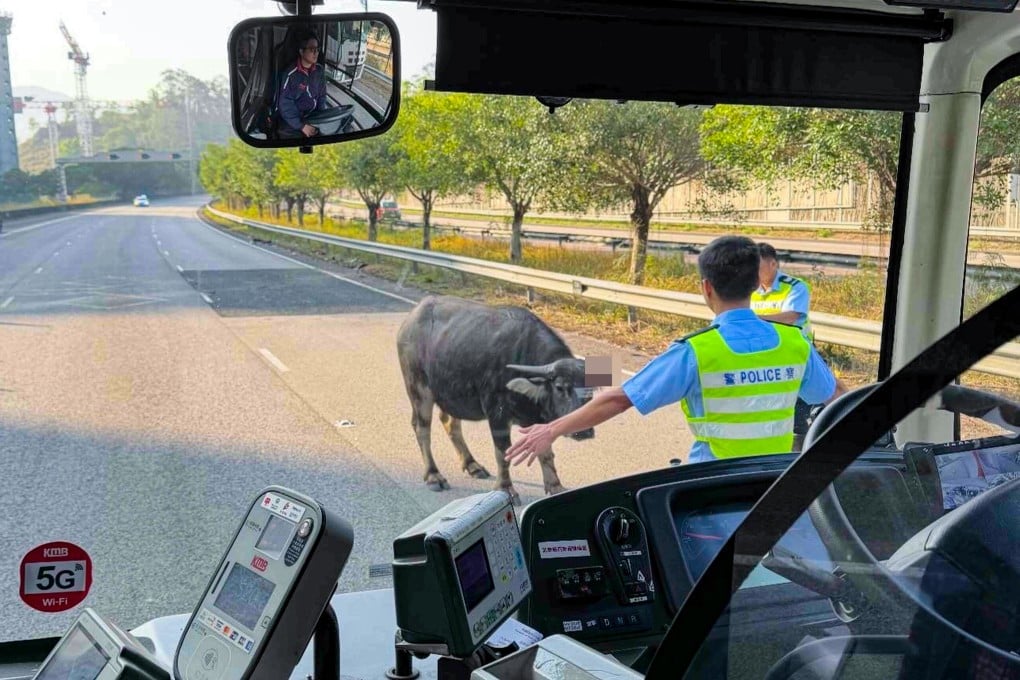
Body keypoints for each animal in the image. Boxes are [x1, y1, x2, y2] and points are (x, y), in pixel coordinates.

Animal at [396, 296, 595, 505]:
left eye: (591, 390)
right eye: (560, 387)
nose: (584, 431)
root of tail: (410, 320)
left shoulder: (538, 420)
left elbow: (546, 452)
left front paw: (555, 486)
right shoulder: (497, 415)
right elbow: (503, 454)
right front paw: (506, 489)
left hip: (451, 393)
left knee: (450, 422)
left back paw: (472, 464)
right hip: (419, 389)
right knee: (422, 428)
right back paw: (434, 475)